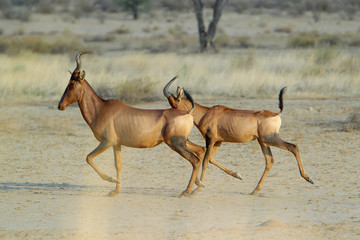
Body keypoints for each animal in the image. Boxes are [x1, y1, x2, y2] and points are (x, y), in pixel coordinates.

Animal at [57, 51, 204, 196]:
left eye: (72, 84)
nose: (60, 105)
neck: (102, 108)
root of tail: (188, 113)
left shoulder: (107, 141)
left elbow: (89, 157)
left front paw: (112, 180)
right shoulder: (117, 143)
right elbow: (118, 164)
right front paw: (116, 190)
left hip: (175, 143)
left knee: (195, 160)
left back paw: (186, 191)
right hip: (183, 141)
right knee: (201, 150)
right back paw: (198, 185)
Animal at [163, 79, 312, 195]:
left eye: (176, 102)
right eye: (170, 103)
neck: (207, 113)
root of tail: (276, 113)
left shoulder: (210, 140)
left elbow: (205, 162)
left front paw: (197, 189)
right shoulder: (218, 141)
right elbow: (211, 159)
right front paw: (238, 175)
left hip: (270, 138)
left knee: (293, 146)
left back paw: (308, 178)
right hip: (263, 141)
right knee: (270, 161)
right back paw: (254, 190)